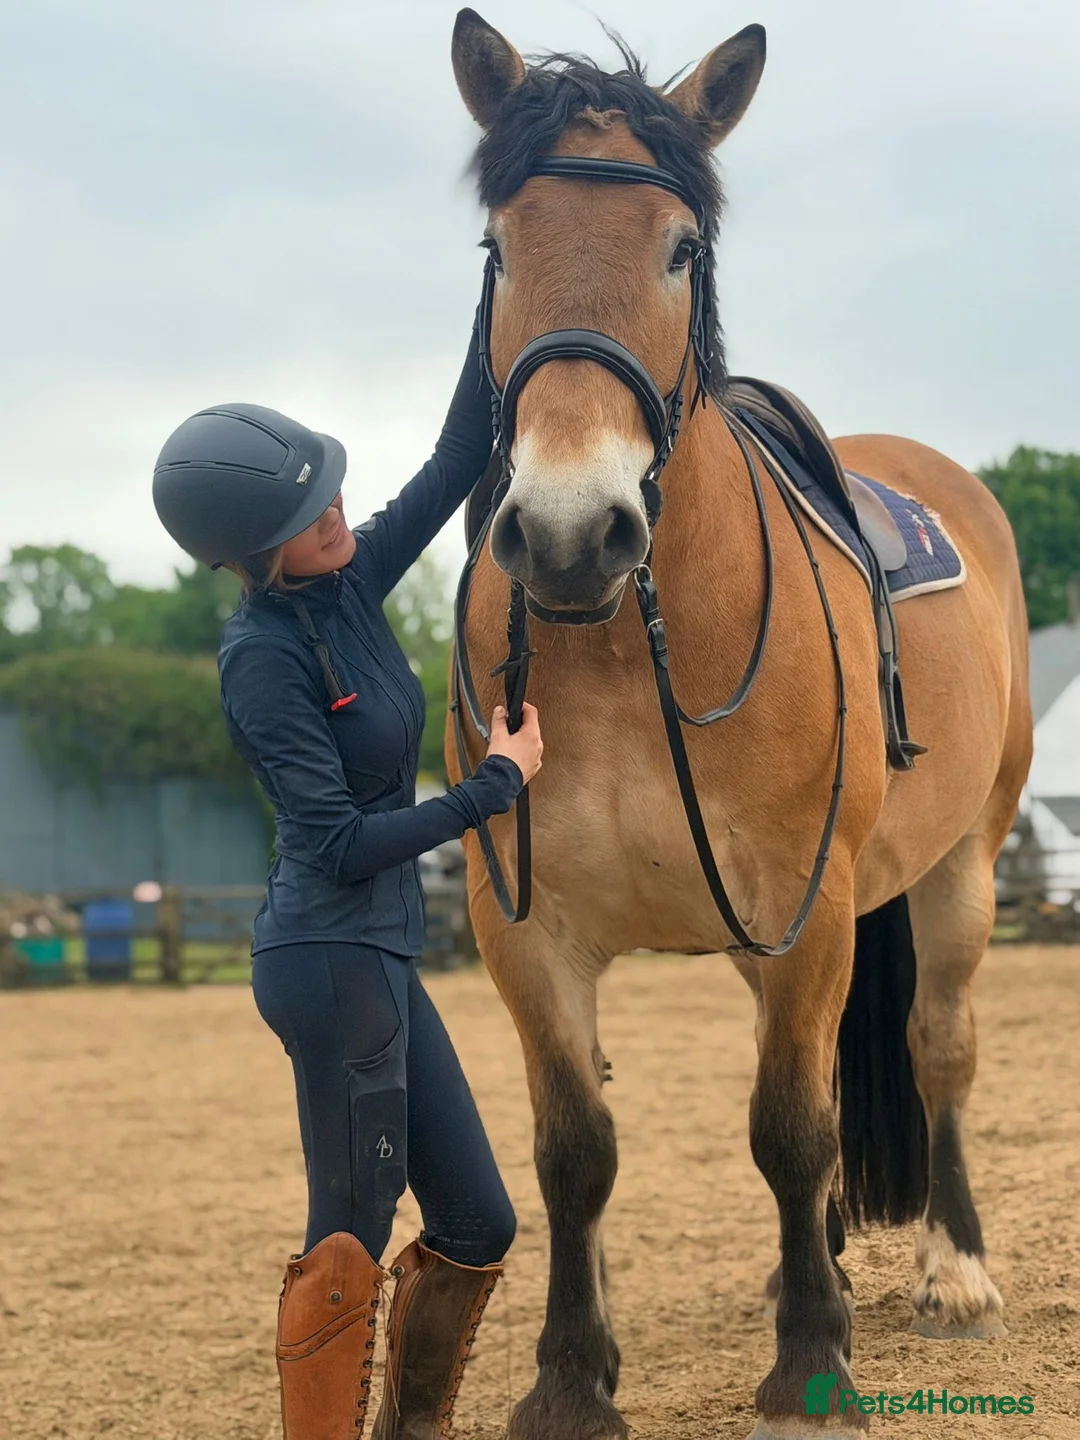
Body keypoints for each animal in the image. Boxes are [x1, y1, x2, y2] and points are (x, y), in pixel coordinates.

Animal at [444, 11, 1032, 1438]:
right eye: (501, 246)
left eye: (680, 247)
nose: (568, 532)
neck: (625, 643)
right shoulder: (521, 923)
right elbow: (574, 1151)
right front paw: (570, 1379)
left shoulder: (810, 907)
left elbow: (791, 1129)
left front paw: (810, 1368)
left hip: (961, 869)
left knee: (934, 1050)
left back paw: (954, 1270)